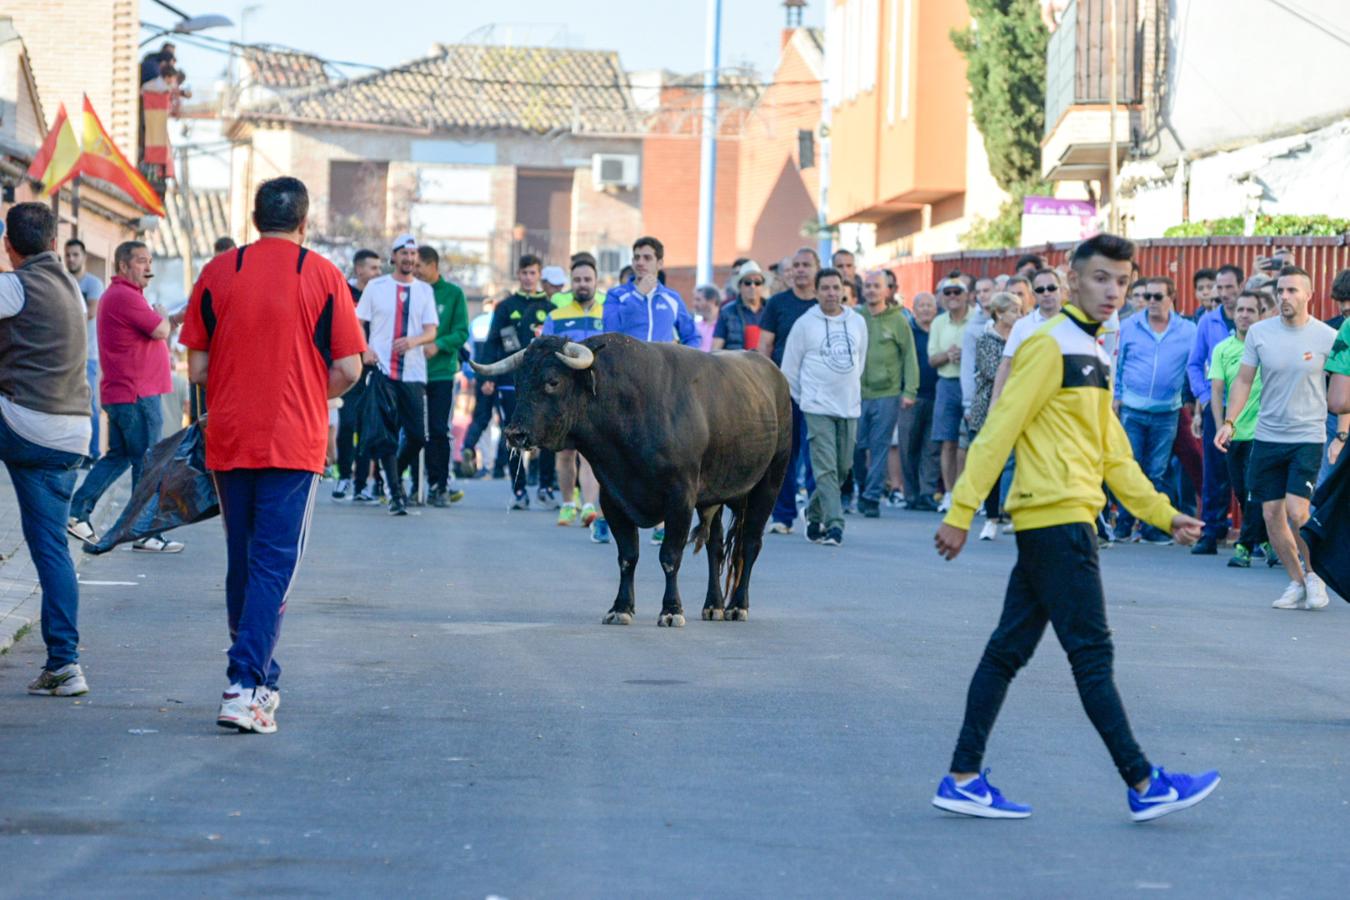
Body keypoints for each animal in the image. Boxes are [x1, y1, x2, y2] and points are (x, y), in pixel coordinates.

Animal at [475, 333, 788, 626]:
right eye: (518, 381)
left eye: (552, 381)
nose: (514, 434)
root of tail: (775, 375)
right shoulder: (613, 498)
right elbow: (627, 556)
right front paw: (621, 608)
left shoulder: (680, 498)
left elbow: (670, 556)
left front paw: (671, 610)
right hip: (715, 497)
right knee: (715, 546)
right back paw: (714, 605)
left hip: (769, 484)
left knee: (750, 544)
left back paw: (737, 605)